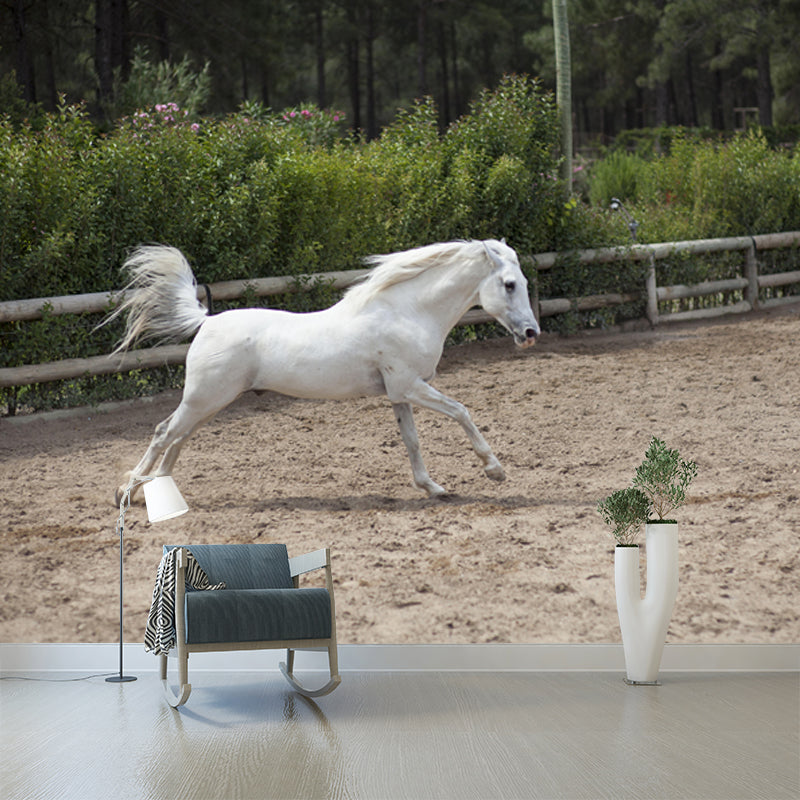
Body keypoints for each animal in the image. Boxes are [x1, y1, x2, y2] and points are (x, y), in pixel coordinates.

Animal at [107, 239, 540, 502]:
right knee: (163, 434)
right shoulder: (411, 386)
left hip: (209, 404)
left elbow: (412, 441)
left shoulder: (399, 393)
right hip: (204, 399)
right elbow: (462, 412)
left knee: (177, 438)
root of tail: (207, 321)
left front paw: (433, 488)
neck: (407, 312)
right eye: (509, 284)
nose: (531, 333)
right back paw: (127, 492)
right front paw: (495, 471)